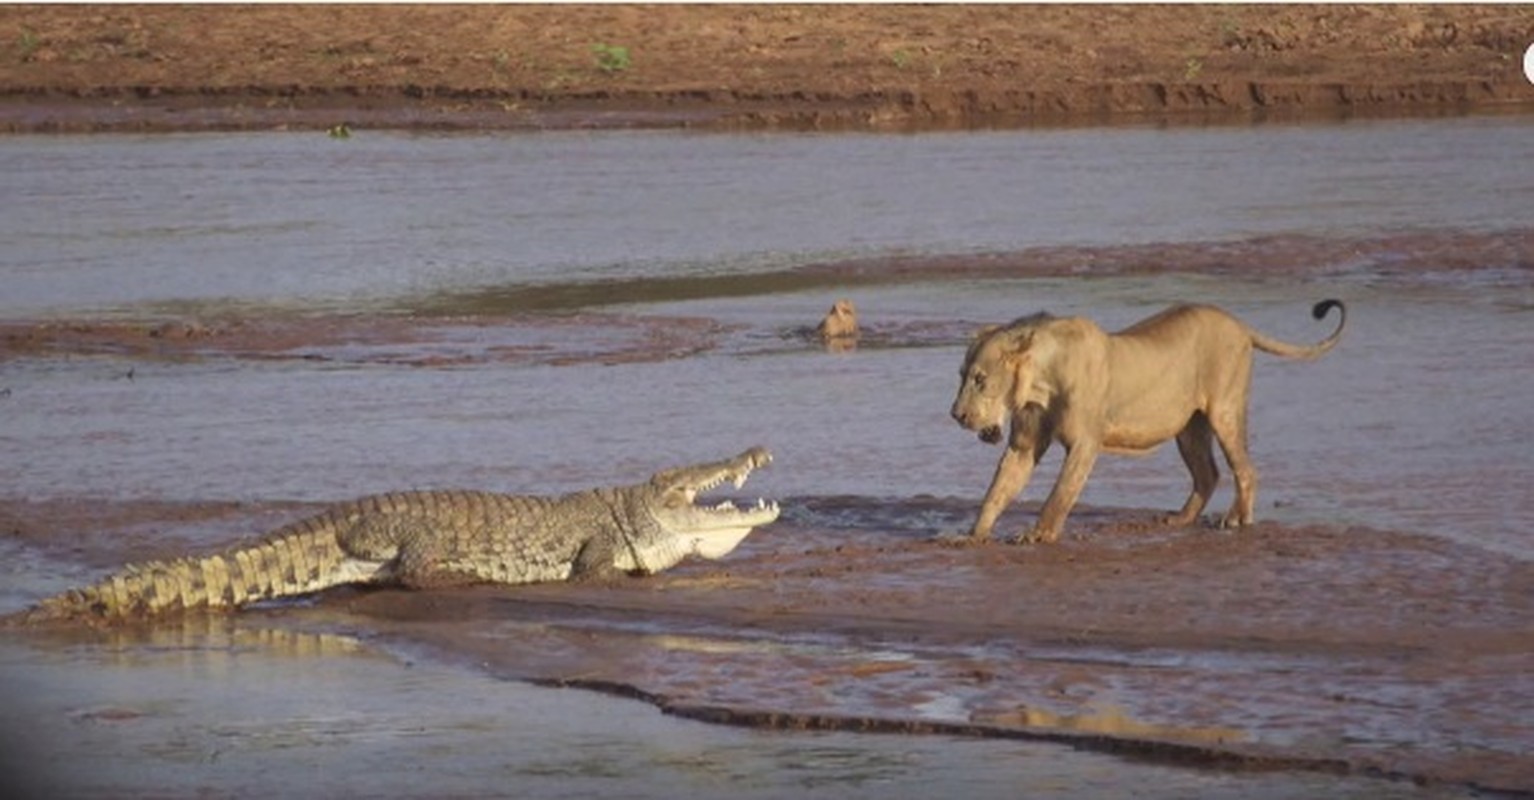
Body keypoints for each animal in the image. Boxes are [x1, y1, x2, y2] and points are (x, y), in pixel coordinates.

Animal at [951, 298, 1349, 542]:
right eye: (962, 375)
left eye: (980, 379)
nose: (957, 415)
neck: (1039, 382)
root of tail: (1237, 323)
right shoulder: (1024, 444)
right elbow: (998, 490)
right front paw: (972, 536)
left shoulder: (1085, 443)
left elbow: (1060, 494)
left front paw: (1038, 535)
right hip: (1189, 428)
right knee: (1208, 474)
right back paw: (1180, 520)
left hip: (1224, 410)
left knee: (1245, 469)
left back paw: (1237, 520)